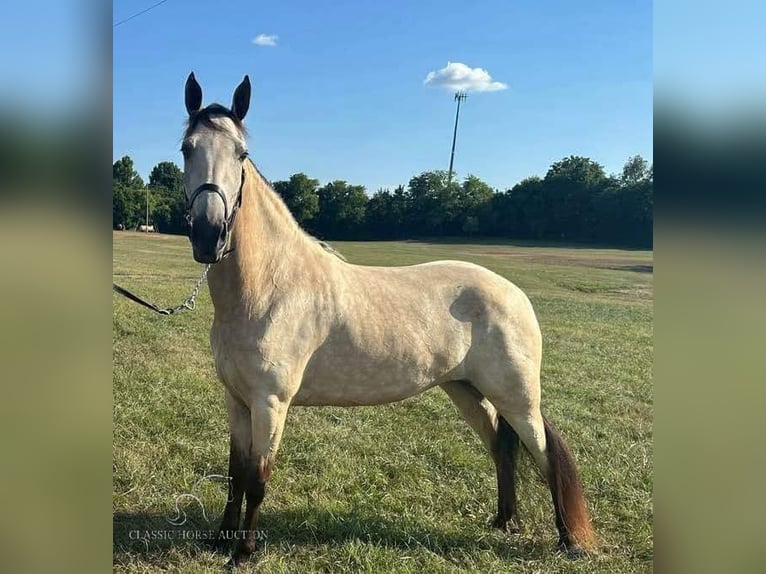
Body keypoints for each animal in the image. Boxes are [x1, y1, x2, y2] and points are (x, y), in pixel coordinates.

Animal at [182, 71, 600, 568]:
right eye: (186, 149)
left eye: (241, 154)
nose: (209, 235)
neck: (270, 286)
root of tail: (514, 294)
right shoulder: (238, 402)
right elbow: (235, 473)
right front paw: (219, 541)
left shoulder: (270, 403)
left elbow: (258, 479)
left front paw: (243, 552)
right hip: (466, 391)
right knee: (501, 447)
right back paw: (503, 521)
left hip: (517, 398)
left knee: (544, 454)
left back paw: (568, 541)